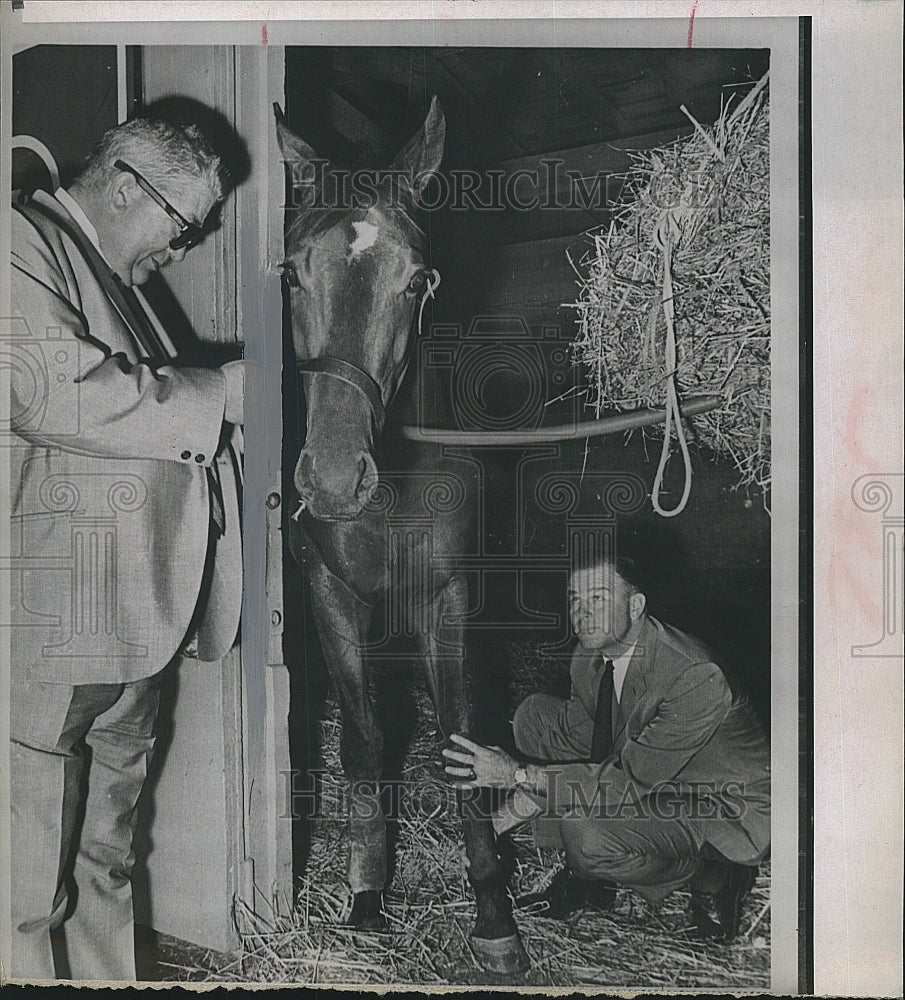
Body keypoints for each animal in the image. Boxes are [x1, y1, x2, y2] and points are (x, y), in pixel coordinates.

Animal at [276, 97, 528, 972]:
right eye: (290, 273)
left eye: (416, 278)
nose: (329, 478)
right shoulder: (330, 596)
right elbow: (362, 741)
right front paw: (365, 892)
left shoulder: (446, 600)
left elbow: (458, 743)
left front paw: (493, 917)